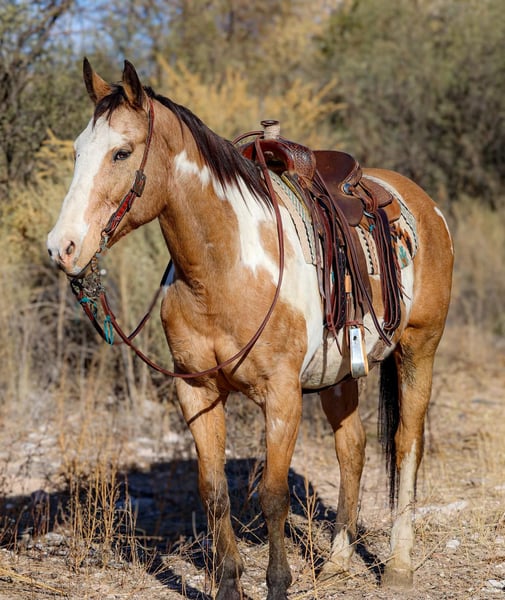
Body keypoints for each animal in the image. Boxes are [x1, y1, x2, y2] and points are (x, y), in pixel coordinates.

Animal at [47, 59, 453, 600]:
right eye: (77, 150)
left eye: (122, 152)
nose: (62, 247)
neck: (222, 269)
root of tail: (425, 206)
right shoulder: (196, 392)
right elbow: (214, 491)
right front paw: (228, 584)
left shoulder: (281, 395)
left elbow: (274, 495)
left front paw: (277, 584)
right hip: (339, 375)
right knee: (353, 448)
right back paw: (338, 561)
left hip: (419, 351)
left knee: (407, 445)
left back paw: (399, 565)